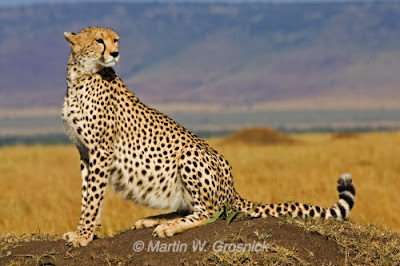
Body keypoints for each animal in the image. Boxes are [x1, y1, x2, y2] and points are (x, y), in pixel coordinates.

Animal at [61, 26, 356, 246]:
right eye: (99, 40)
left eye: (115, 40)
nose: (115, 53)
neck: (80, 77)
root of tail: (232, 186)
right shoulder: (86, 152)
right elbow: (88, 193)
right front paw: (84, 231)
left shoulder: (101, 150)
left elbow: (92, 196)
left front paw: (84, 236)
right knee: (189, 207)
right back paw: (154, 220)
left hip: (190, 154)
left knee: (210, 211)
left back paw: (169, 227)